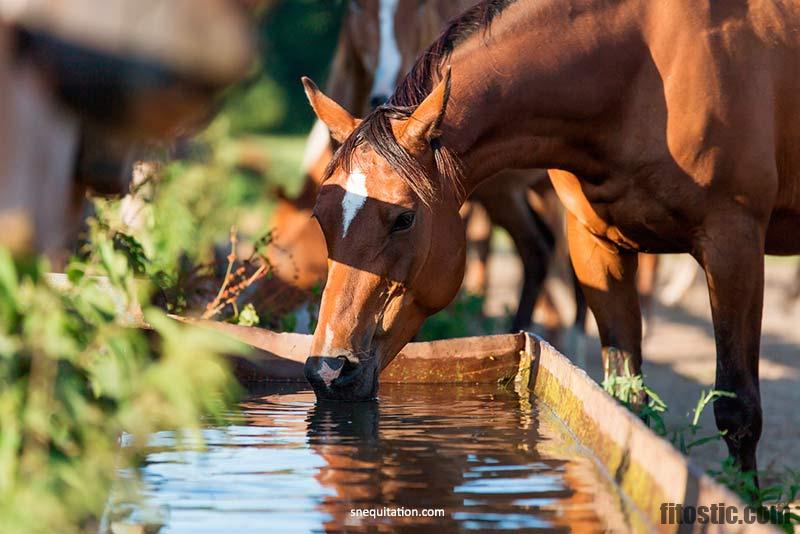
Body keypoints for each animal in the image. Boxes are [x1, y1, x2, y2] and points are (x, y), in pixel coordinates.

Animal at [302, 0, 800, 478]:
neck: (640, 75)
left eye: (404, 219)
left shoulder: (732, 244)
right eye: (321, 217)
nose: (328, 371)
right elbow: (624, 399)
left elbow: (738, 410)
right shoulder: (595, 244)